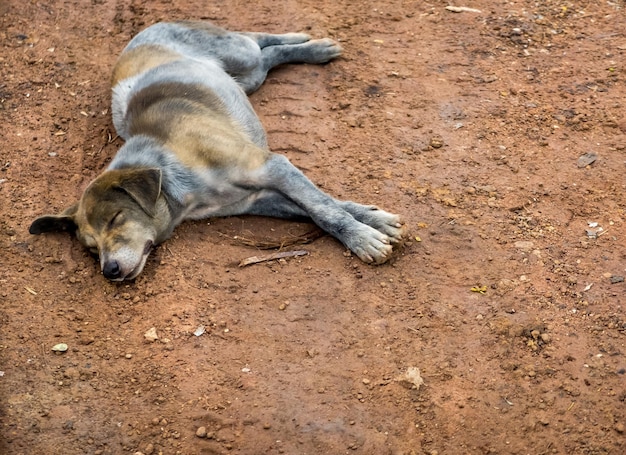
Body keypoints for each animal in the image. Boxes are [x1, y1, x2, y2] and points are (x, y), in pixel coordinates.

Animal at [29, 23, 402, 284]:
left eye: (116, 218)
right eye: (91, 249)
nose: (110, 271)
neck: (178, 185)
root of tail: (143, 33)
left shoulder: (272, 167)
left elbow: (324, 208)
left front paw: (361, 237)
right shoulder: (260, 199)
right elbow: (316, 208)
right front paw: (374, 221)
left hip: (239, 54)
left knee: (255, 39)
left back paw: (312, 45)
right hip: (249, 77)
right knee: (267, 58)